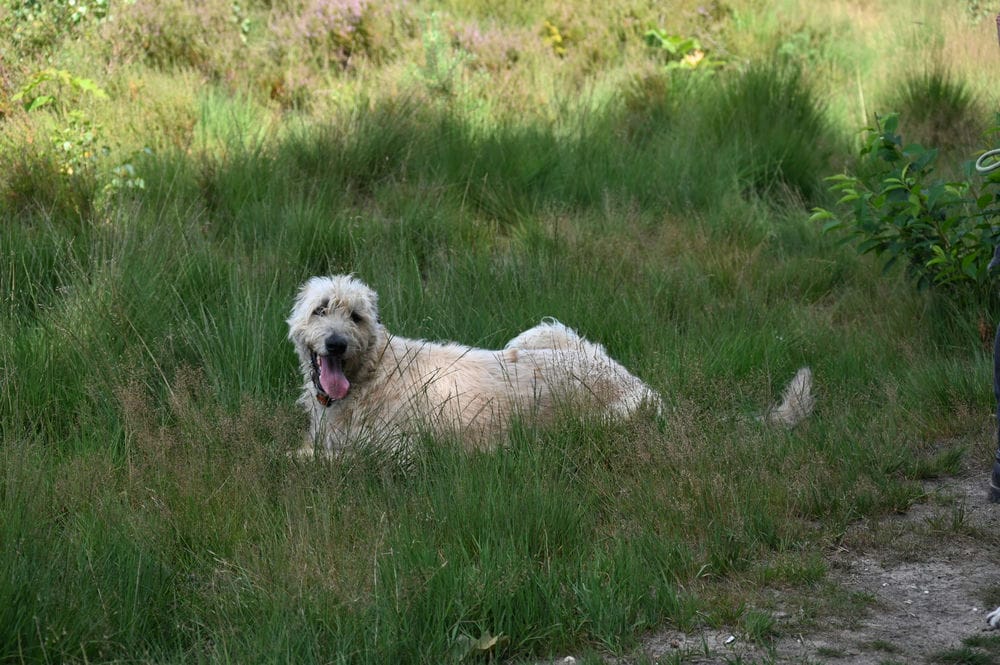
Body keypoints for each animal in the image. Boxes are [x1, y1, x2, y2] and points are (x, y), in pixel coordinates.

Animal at [287, 274, 814, 456]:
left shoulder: (402, 453)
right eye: (321, 309)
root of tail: (638, 384)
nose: (335, 344)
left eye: (356, 316)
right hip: (540, 333)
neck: (372, 370)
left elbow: (320, 461)